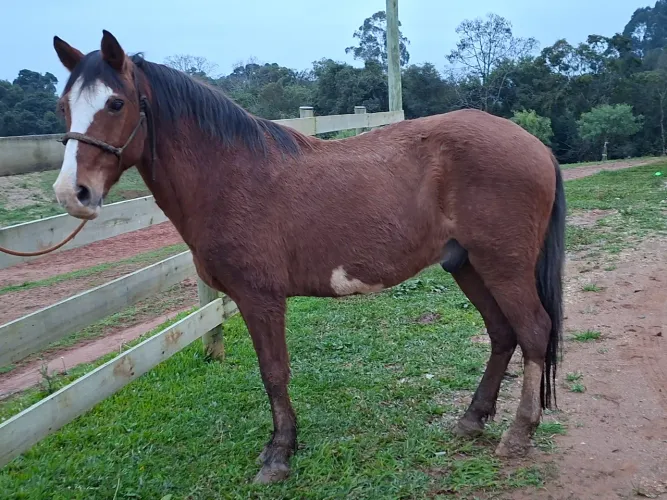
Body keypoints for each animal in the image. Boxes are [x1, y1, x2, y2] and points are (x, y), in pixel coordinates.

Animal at [51, 30, 565, 484]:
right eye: (63, 106)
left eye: (116, 103)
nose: (73, 193)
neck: (231, 175)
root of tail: (535, 144)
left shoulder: (261, 299)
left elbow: (274, 373)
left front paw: (279, 454)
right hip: (468, 265)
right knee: (502, 333)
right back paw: (472, 419)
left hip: (503, 266)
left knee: (533, 331)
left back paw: (519, 434)